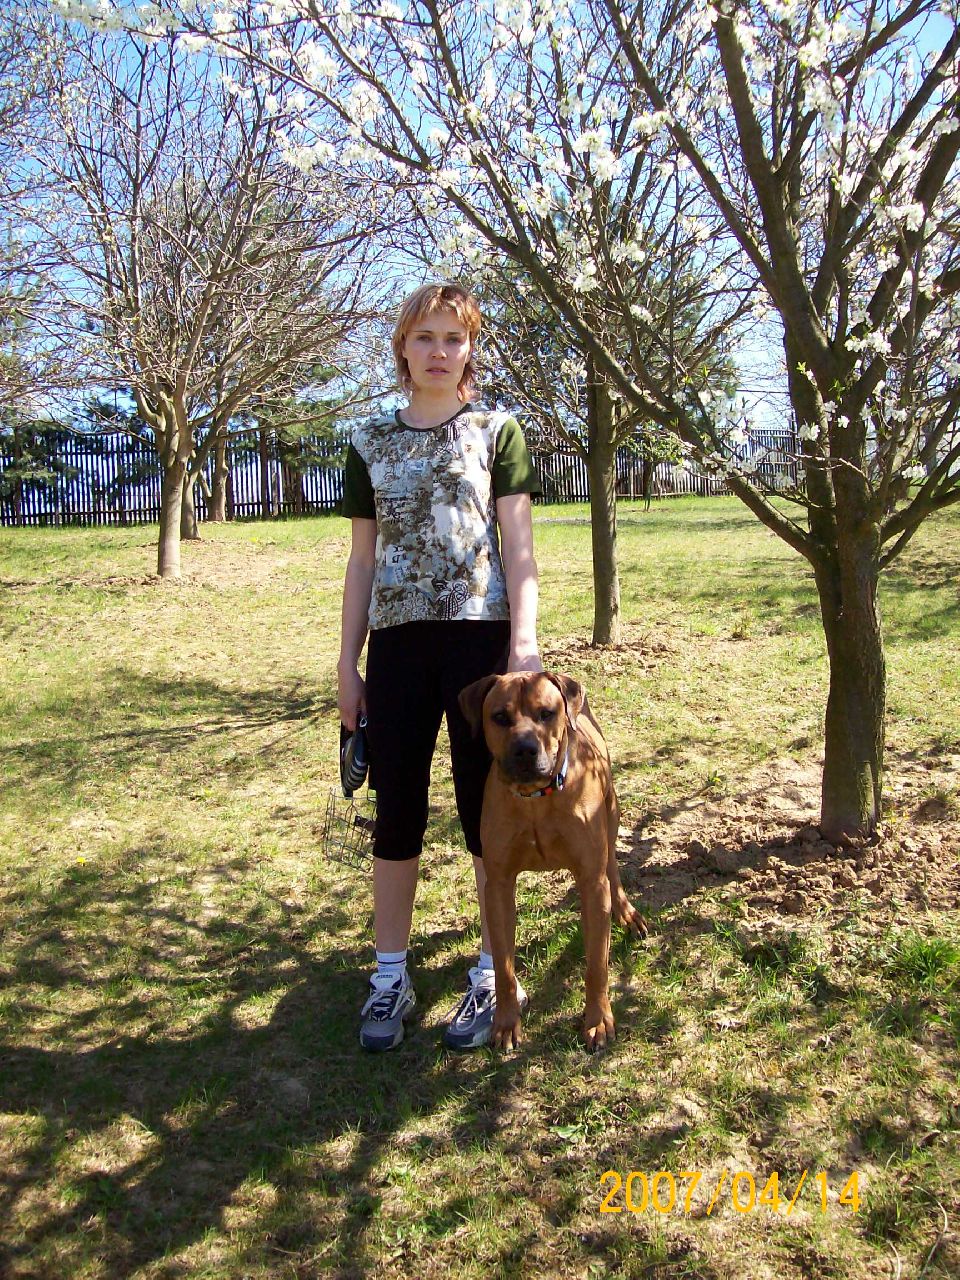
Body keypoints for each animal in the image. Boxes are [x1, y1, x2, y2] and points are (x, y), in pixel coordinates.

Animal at [458, 671, 645, 1052]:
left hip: (611, 813)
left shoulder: (591, 880)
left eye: (546, 713)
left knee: (612, 868)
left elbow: (596, 965)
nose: (525, 749)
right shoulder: (498, 885)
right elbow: (504, 967)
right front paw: (506, 1022)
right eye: (500, 717)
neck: (535, 799)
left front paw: (597, 1020)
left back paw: (626, 912)